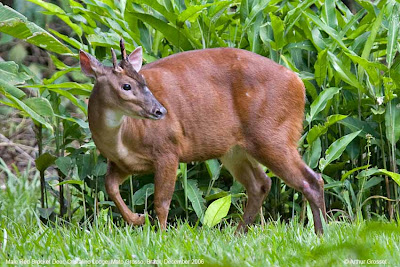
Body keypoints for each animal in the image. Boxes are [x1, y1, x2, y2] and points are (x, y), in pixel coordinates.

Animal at [79, 39, 326, 234]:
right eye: (126, 86)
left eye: (144, 82)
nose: (160, 111)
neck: (122, 139)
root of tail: (299, 82)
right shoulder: (122, 163)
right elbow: (110, 187)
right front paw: (137, 219)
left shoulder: (168, 149)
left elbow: (161, 202)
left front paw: (160, 236)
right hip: (234, 150)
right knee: (261, 183)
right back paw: (238, 234)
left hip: (273, 135)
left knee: (311, 179)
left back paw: (321, 232)